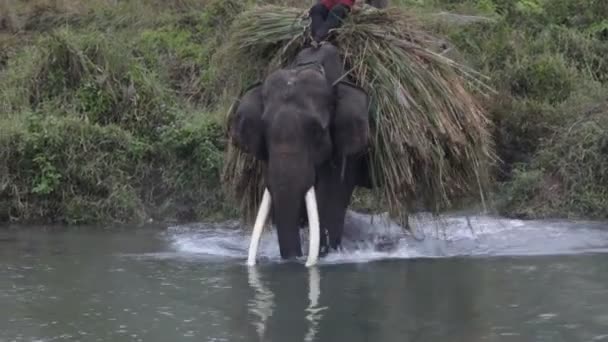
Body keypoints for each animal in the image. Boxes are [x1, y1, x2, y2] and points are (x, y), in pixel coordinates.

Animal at [227, 42, 372, 266]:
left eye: (316, 130)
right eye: (264, 129)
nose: (297, 260)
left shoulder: (346, 148)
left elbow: (329, 204)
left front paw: (324, 254)